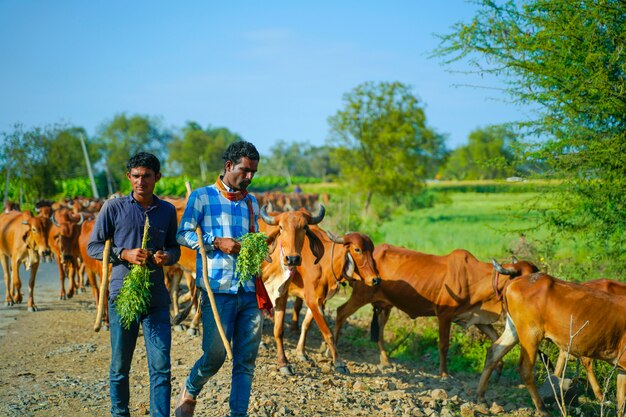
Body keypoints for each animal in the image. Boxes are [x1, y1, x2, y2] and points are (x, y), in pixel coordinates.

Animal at [334, 245, 532, 376]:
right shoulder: (444, 315)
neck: (475, 278)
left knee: (380, 331)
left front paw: (498, 367)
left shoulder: (476, 318)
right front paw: (444, 374)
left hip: (385, 305)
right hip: (360, 295)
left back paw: (385, 361)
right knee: (340, 312)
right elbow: (443, 346)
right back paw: (331, 351)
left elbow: (495, 338)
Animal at [476, 264, 624, 416]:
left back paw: (481, 398)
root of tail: (514, 282)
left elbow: (621, 400)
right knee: (525, 369)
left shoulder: (621, 369)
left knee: (494, 352)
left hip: (514, 330)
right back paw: (542, 408)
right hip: (530, 334)